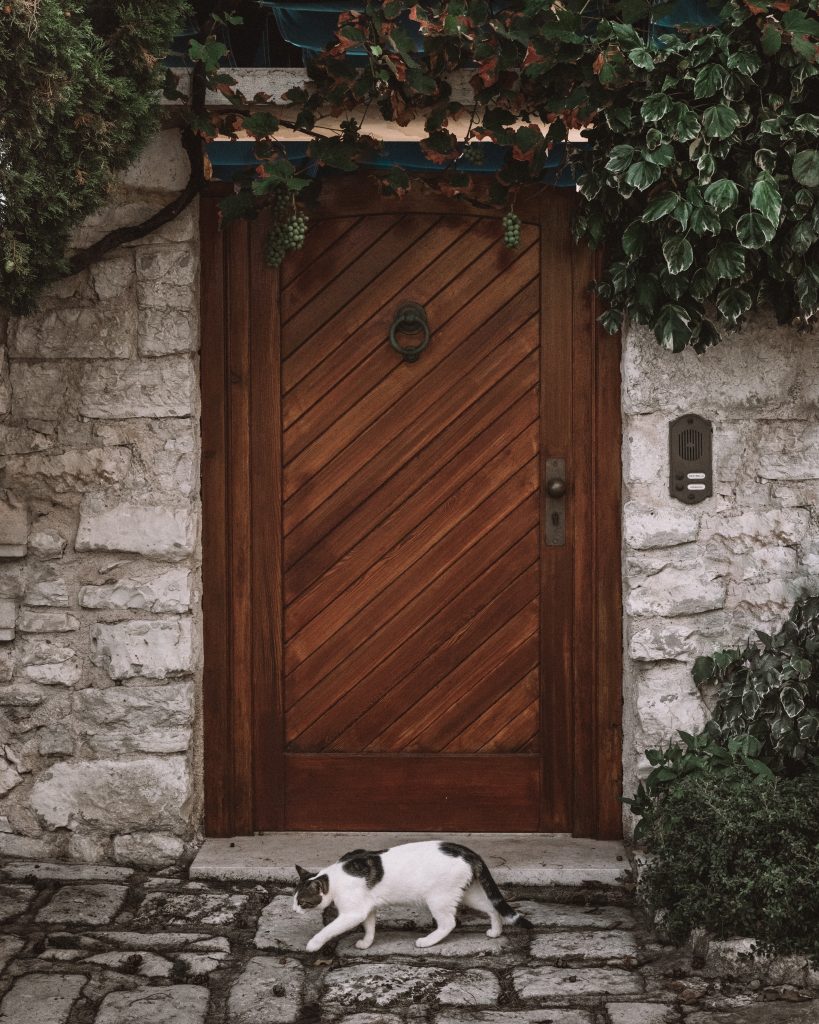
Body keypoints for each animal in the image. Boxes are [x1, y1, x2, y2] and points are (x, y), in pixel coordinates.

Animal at [292, 839, 532, 950]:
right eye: (294, 900)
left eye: (302, 902)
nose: (293, 910)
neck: (333, 878)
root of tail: (468, 851)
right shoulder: (367, 908)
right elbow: (370, 927)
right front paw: (366, 943)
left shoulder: (353, 913)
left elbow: (328, 929)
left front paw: (313, 944)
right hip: (468, 895)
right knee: (492, 907)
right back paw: (495, 932)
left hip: (438, 898)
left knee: (449, 923)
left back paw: (427, 941)